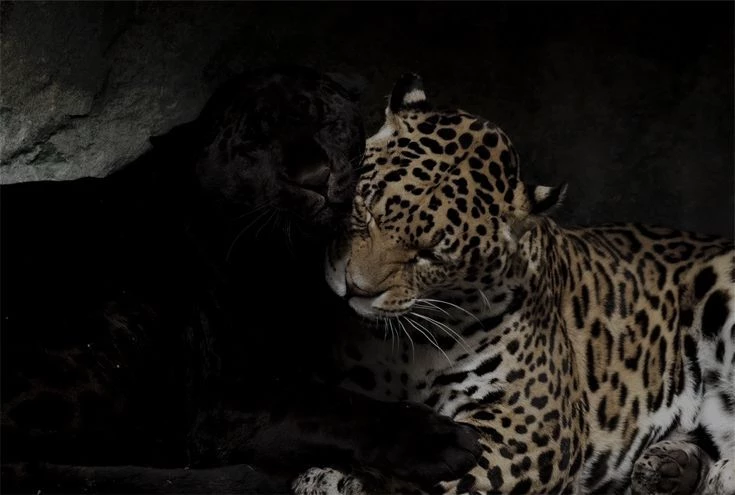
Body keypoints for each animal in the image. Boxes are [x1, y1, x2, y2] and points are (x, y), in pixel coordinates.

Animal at [1, 67, 480, 494]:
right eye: (254, 144)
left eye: (326, 121)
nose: (315, 177)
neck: (294, 261)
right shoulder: (225, 400)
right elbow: (329, 406)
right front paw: (443, 440)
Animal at [293, 73, 735, 495]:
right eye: (363, 208)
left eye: (430, 255)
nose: (355, 289)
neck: (401, 349)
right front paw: (328, 475)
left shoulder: (529, 428)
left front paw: (349, 480)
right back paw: (670, 466)